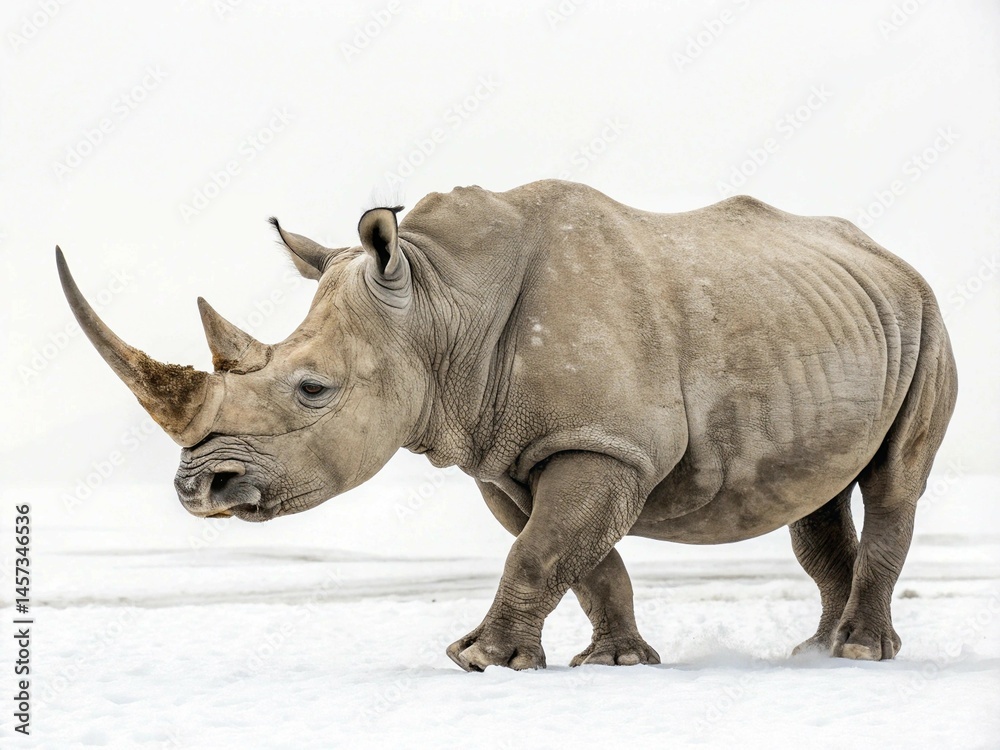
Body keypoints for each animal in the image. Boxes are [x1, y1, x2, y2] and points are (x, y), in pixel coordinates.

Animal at [57, 179, 957, 671]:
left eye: (312, 390)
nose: (197, 489)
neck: (437, 301)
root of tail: (887, 256)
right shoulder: (504, 454)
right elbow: (577, 557)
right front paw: (614, 662)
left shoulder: (606, 442)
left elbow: (544, 549)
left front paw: (476, 660)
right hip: (834, 321)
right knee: (817, 498)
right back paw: (818, 652)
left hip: (927, 317)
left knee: (895, 481)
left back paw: (859, 653)